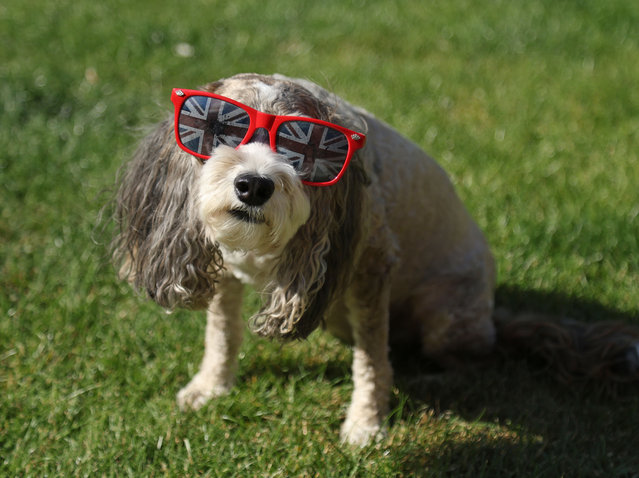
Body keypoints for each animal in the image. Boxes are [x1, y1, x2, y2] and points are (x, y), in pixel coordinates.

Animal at [112, 73, 636, 446]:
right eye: (219, 128)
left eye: (302, 151)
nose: (255, 185)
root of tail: (493, 314)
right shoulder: (224, 268)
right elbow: (222, 332)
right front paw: (209, 387)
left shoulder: (372, 267)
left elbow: (370, 359)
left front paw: (365, 426)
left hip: (447, 316)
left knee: (470, 357)